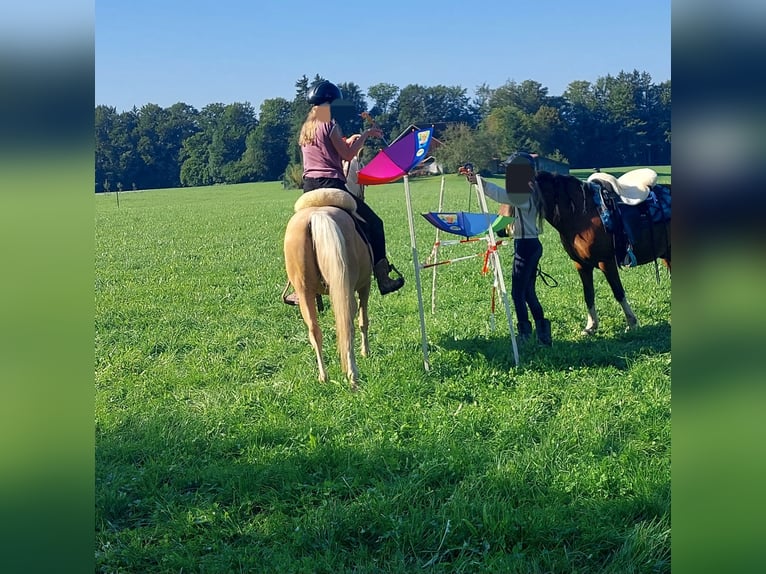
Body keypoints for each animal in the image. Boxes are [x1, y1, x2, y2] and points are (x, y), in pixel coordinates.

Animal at [283, 188, 373, 389]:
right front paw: (366, 352)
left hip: (305, 293)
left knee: (314, 331)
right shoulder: (365, 286)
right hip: (347, 289)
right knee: (347, 327)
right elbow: (363, 321)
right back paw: (353, 376)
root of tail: (317, 215)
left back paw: (323, 377)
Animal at [531, 170, 671, 335]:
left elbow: (618, 292)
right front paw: (591, 327)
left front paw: (632, 323)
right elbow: (588, 295)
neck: (580, 214)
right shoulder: (581, 265)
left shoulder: (606, 262)